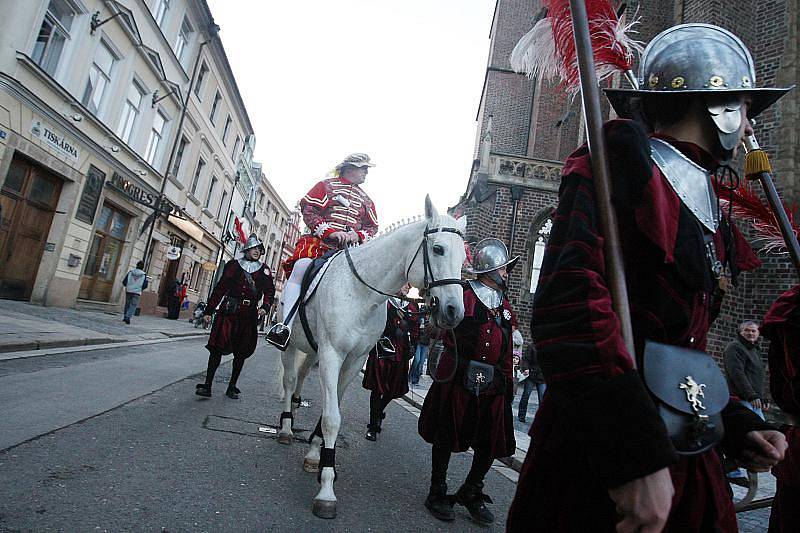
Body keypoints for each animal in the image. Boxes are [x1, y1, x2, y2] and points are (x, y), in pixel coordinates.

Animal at [276, 195, 466, 516]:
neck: (361, 294)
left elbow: (332, 408)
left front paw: (316, 454)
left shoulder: (353, 361)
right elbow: (332, 417)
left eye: (464, 258)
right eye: (438, 248)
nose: (454, 311)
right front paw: (326, 489)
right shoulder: (332, 354)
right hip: (290, 346)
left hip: (312, 352)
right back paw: (287, 428)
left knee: (300, 378)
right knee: (289, 381)